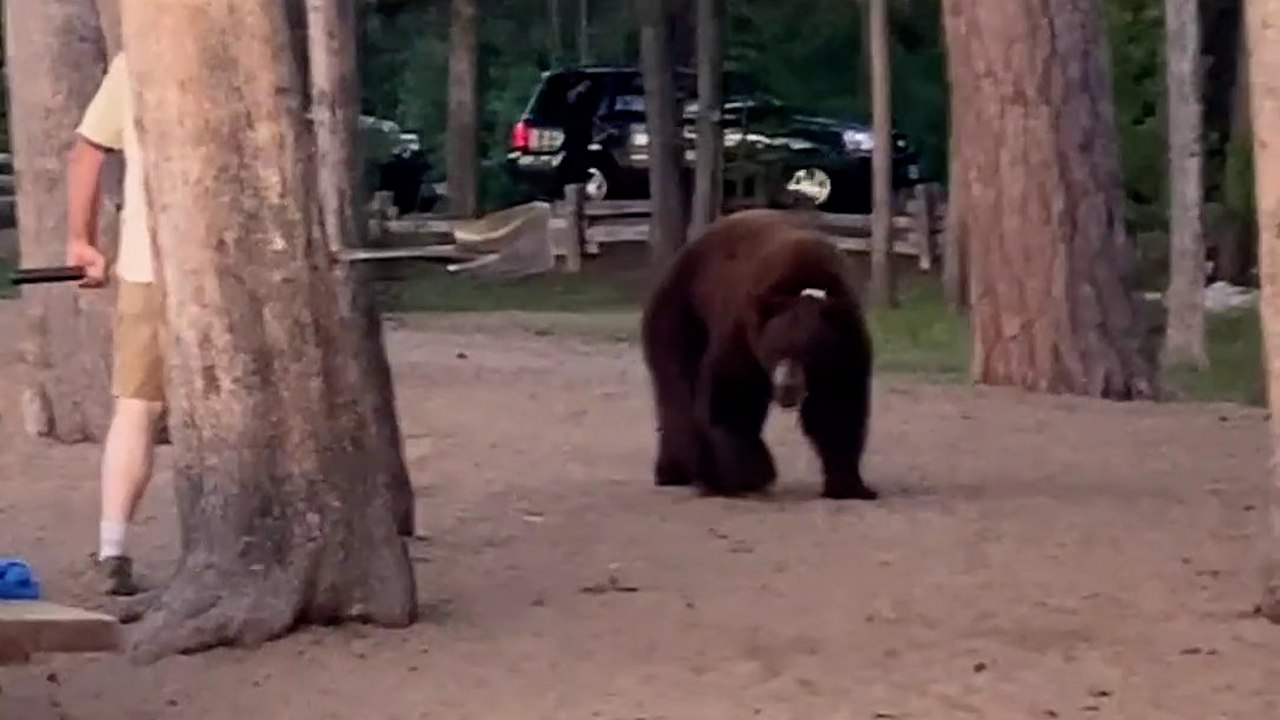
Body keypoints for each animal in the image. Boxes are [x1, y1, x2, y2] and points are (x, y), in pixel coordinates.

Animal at [639, 207, 877, 500]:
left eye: (808, 353)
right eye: (778, 349)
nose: (787, 387)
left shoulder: (845, 347)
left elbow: (838, 407)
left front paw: (850, 485)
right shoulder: (742, 334)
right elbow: (732, 397)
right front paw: (748, 474)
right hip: (681, 313)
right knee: (678, 387)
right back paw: (679, 470)